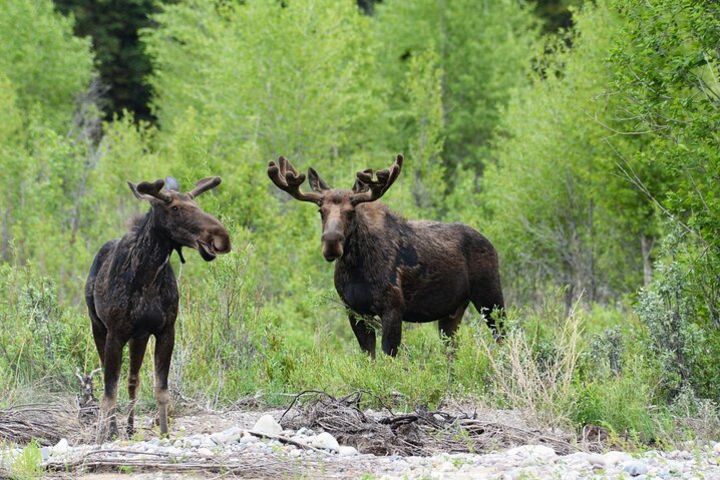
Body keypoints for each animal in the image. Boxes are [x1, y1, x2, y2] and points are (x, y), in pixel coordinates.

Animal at [86, 176, 231, 438]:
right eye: (175, 208)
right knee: (111, 381)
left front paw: (165, 434)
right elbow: (109, 391)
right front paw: (105, 436)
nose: (221, 237)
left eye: (195, 203)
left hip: (139, 337)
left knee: (133, 379)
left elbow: (161, 390)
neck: (148, 276)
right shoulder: (115, 333)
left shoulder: (165, 330)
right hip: (98, 327)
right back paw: (113, 428)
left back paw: (130, 428)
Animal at [268, 155, 504, 356]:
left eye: (351, 211)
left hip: (490, 297)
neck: (356, 267)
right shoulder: (354, 311)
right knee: (452, 351)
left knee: (503, 337)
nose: (331, 243)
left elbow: (388, 357)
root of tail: (491, 244)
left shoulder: (392, 309)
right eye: (320, 211)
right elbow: (369, 358)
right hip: (451, 312)